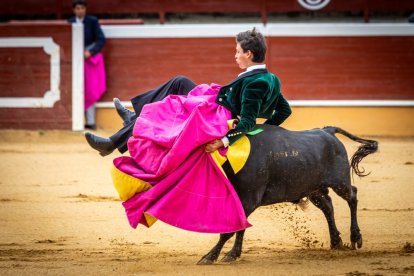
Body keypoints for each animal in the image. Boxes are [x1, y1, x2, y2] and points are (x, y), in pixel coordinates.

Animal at [197, 125, 378, 266]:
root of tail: (328, 131)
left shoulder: (249, 199)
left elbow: (232, 230)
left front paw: (209, 257)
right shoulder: (243, 199)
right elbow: (240, 226)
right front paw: (232, 254)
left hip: (340, 182)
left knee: (352, 196)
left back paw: (355, 236)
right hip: (313, 188)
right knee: (328, 206)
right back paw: (336, 241)